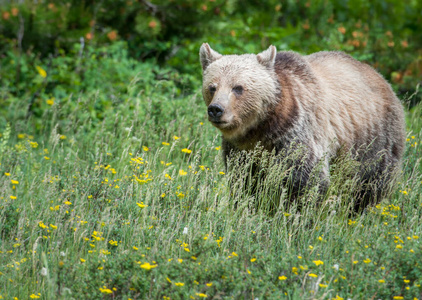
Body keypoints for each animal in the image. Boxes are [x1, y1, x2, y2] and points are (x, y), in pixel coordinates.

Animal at [200, 44, 406, 209]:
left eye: (238, 87)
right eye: (212, 87)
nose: (216, 109)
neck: (261, 128)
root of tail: (382, 78)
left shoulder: (297, 133)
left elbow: (305, 180)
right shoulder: (241, 150)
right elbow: (245, 180)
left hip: (373, 139)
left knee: (368, 183)